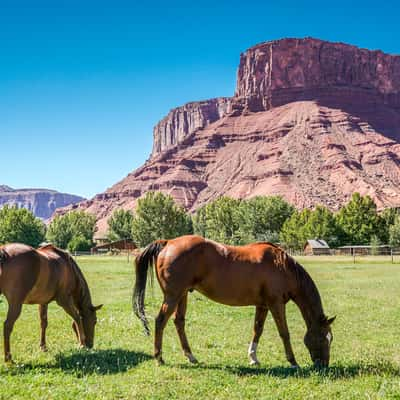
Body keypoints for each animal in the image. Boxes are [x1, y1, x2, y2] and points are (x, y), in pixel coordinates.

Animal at [133, 234, 336, 368]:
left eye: (330, 338)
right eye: (323, 337)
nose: (324, 365)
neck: (282, 266)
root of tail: (168, 243)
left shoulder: (262, 305)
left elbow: (257, 330)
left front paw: (253, 357)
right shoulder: (276, 304)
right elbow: (284, 333)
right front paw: (293, 362)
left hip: (182, 295)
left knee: (179, 322)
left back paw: (190, 356)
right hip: (173, 296)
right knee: (160, 321)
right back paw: (159, 358)